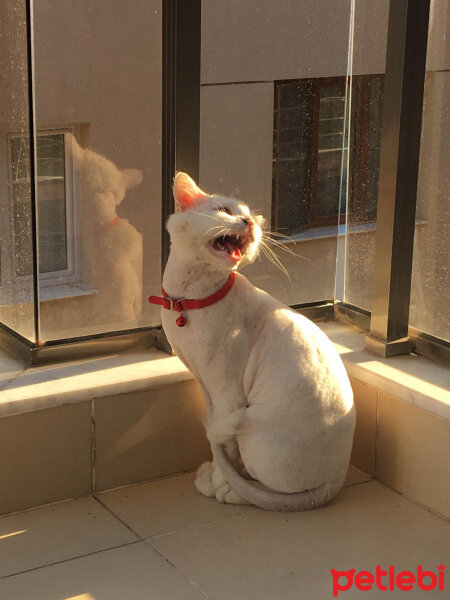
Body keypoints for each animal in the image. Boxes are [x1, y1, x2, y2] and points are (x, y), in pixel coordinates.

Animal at [155, 172, 356, 510]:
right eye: (225, 210)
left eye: (249, 215)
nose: (249, 221)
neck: (189, 301)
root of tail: (338, 479)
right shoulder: (205, 386)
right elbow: (218, 438)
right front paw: (218, 471)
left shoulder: (227, 392)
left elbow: (224, 446)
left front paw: (219, 481)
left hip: (252, 421)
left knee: (268, 494)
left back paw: (231, 491)